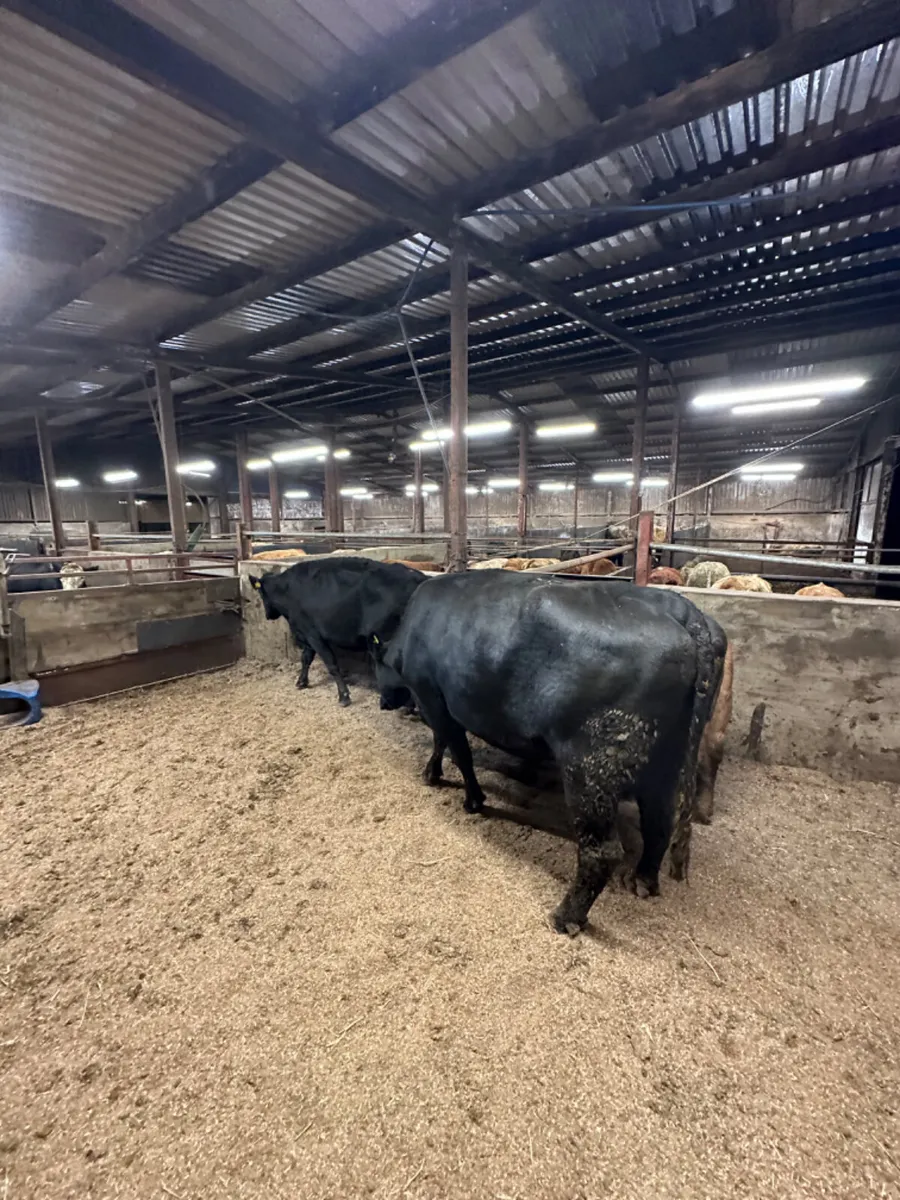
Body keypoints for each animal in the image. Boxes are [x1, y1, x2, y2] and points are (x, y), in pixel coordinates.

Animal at [248, 557, 426, 707]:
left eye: (261, 593)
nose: (267, 615)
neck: (288, 590)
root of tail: (418, 577)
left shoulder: (313, 634)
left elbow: (331, 664)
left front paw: (344, 696)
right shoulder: (308, 636)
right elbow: (305, 659)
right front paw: (302, 681)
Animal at [374, 571, 705, 933]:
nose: (383, 703)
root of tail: (685, 629)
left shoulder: (432, 696)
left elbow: (456, 749)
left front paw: (469, 797)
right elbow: (443, 742)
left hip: (591, 767)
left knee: (602, 851)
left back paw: (566, 917)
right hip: (667, 761)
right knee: (660, 821)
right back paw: (643, 880)